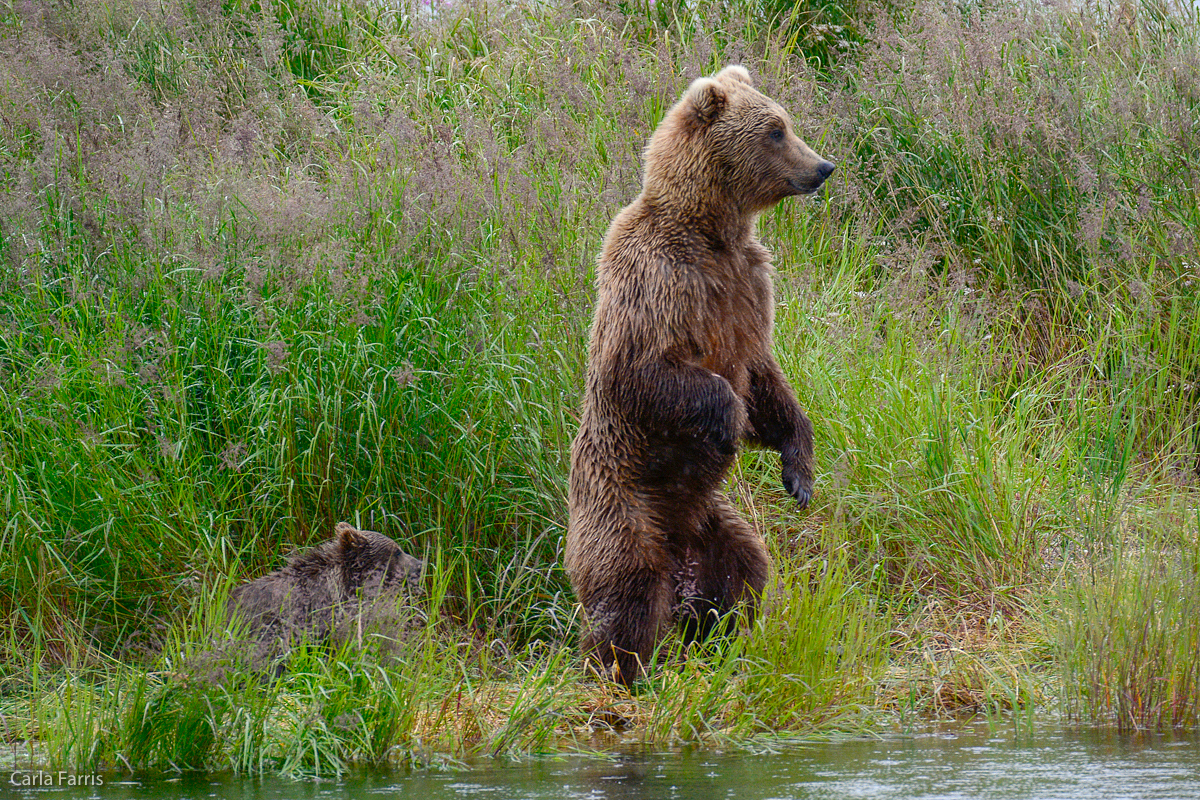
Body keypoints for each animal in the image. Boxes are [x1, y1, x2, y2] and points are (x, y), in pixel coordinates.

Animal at [564, 65, 835, 686]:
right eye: (777, 130)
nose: (823, 167)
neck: (712, 232)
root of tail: (677, 554)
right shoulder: (657, 280)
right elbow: (648, 372)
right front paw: (727, 422)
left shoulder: (748, 288)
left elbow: (765, 381)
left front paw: (799, 473)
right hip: (624, 508)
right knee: (627, 594)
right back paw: (628, 672)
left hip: (714, 523)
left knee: (745, 571)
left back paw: (724, 639)